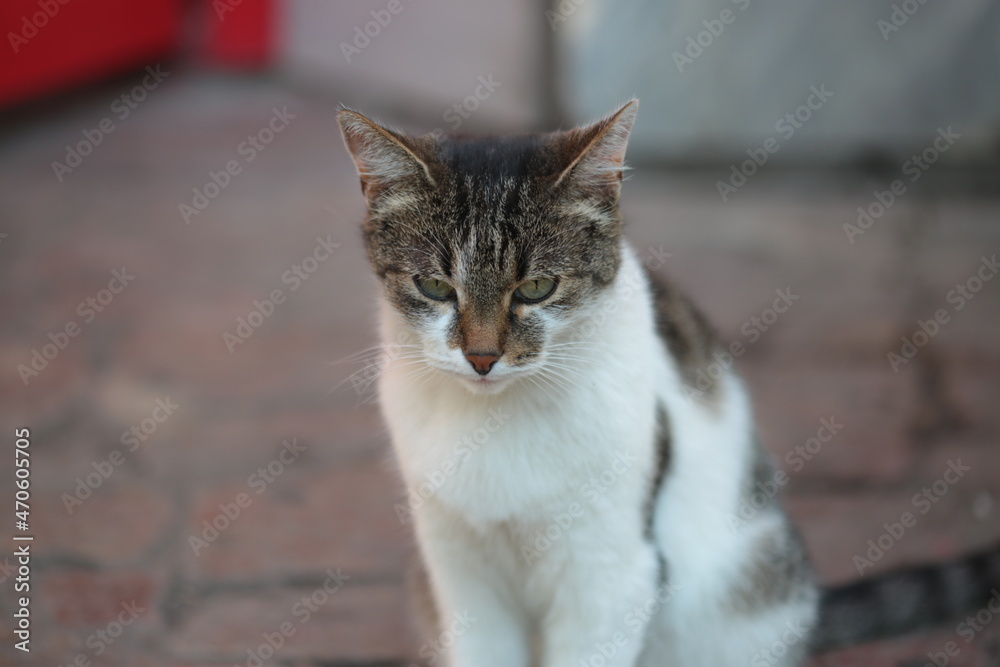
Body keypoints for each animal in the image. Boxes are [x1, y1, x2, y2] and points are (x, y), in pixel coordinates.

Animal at [338, 100, 1000, 667]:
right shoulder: (458, 570)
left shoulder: (613, 572)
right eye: (434, 287)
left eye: (536, 288)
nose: (481, 357)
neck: (496, 420)